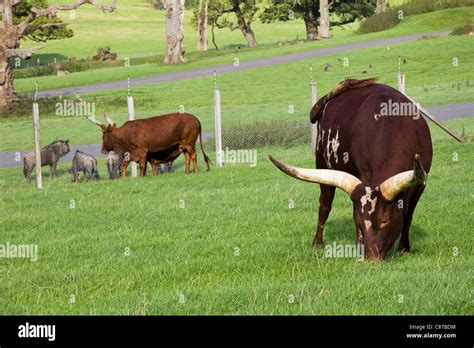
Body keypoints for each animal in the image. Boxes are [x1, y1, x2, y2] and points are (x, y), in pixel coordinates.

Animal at [268, 77, 432, 260]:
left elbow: (408, 215)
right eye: (362, 222)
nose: (371, 258)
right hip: (322, 161)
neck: (393, 124)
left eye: (385, 220)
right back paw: (319, 242)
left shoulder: (421, 181)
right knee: (325, 204)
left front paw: (405, 249)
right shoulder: (364, 177)